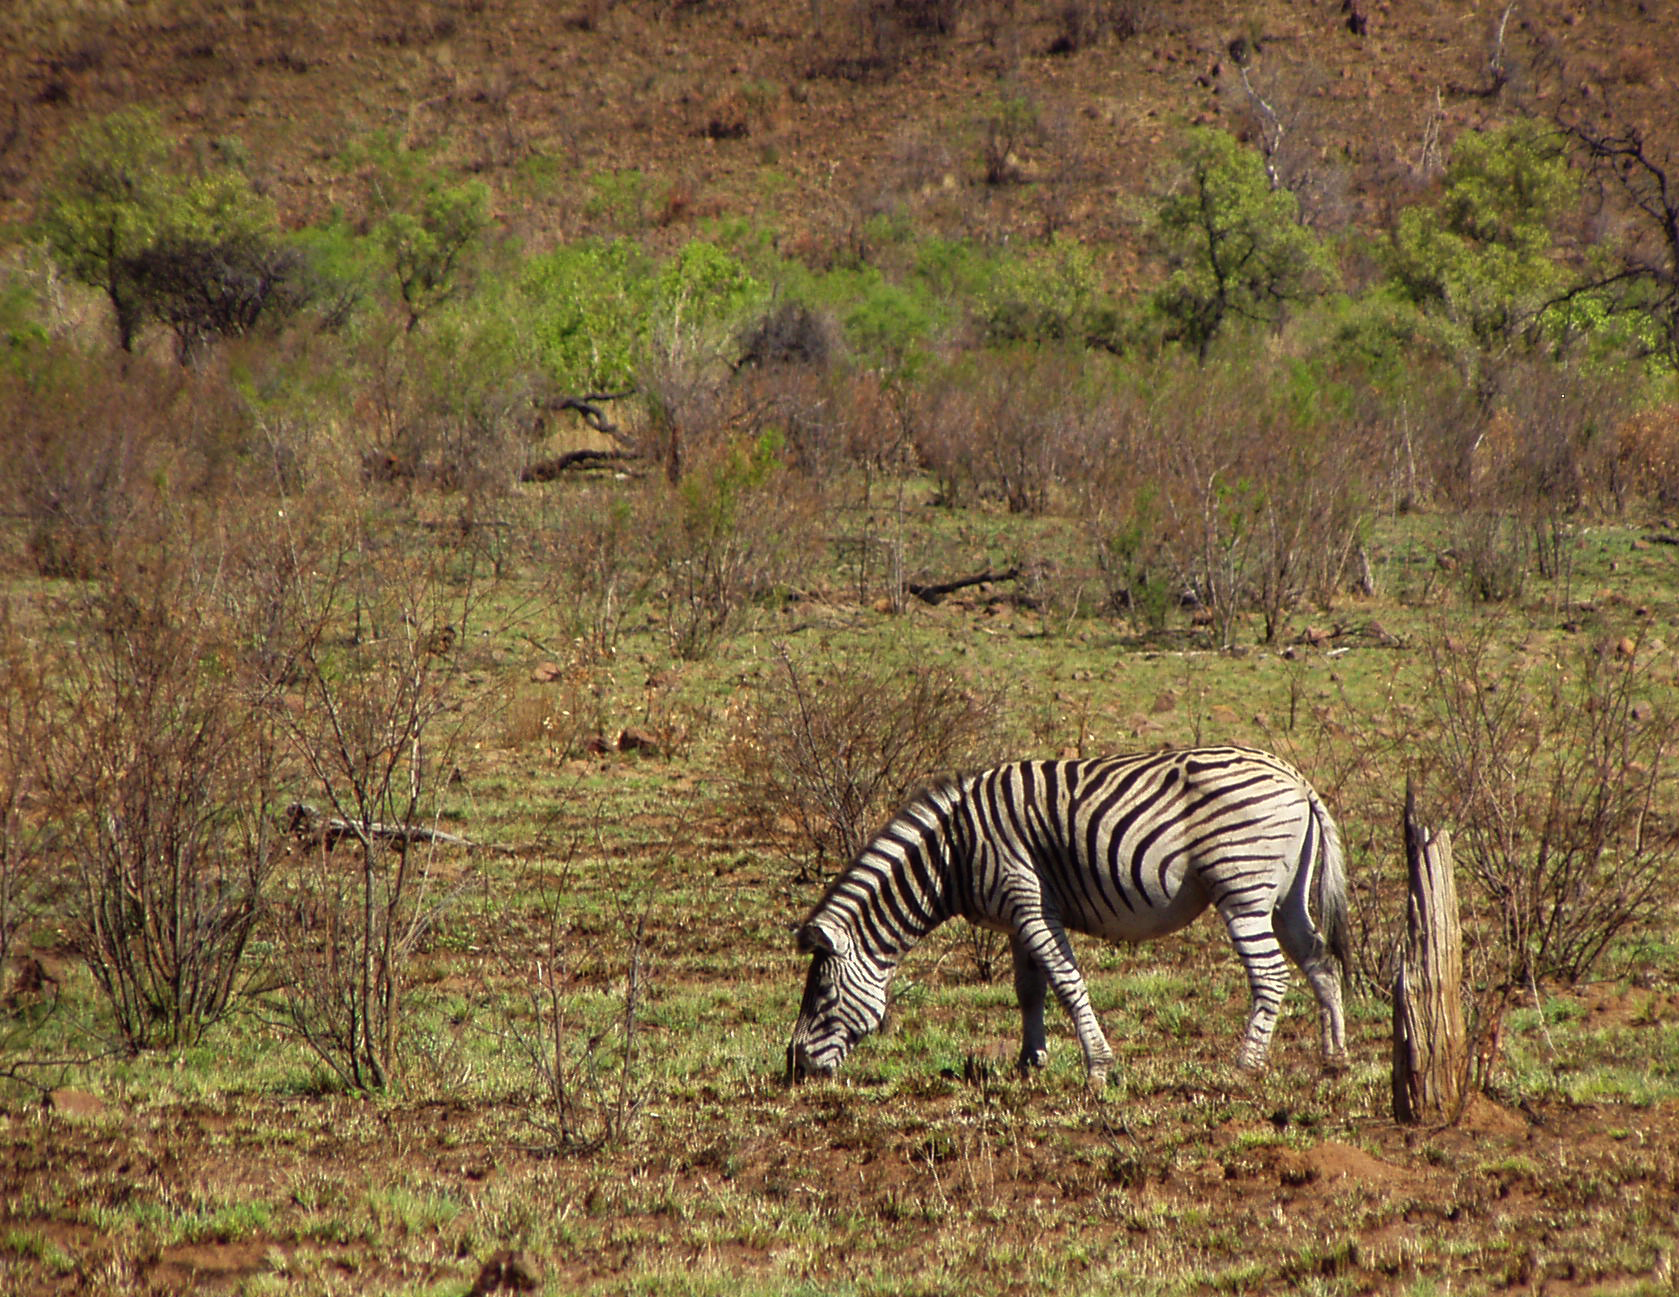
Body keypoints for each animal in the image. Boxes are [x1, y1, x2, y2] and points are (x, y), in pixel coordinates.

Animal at [786, 746, 1349, 1086]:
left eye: (822, 994)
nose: (794, 1066)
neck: (953, 854)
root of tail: (1294, 776)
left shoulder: (1030, 900)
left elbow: (1066, 981)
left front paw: (1099, 1067)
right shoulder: (1016, 918)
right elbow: (1029, 990)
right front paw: (1030, 1061)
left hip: (1242, 885)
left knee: (1271, 974)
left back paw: (1245, 1065)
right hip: (1288, 895)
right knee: (1320, 961)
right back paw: (1335, 1056)